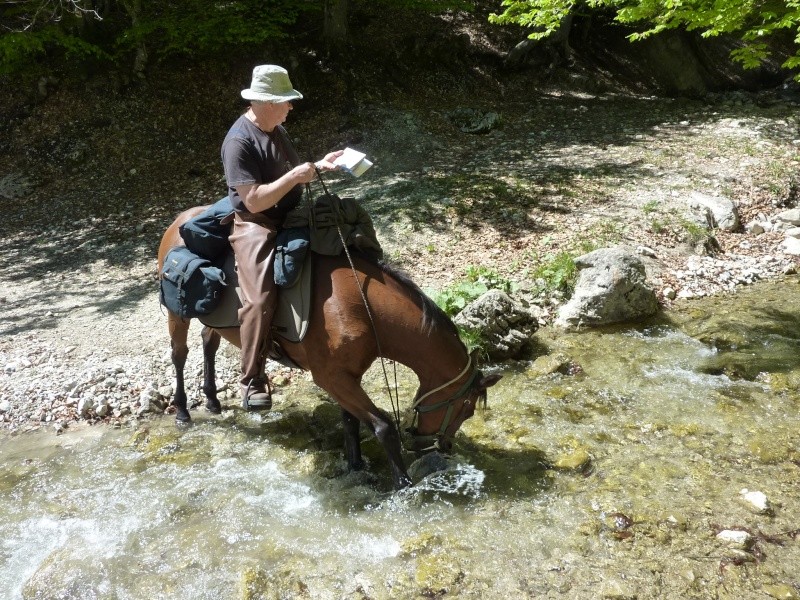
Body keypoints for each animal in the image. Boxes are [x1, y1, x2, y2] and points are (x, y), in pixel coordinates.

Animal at [156, 209, 500, 490]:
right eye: (467, 409)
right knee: (179, 355)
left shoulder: (346, 377)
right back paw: (183, 410)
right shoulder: (332, 378)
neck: (361, 308)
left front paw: (356, 466)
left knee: (208, 341)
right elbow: (383, 426)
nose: (445, 448)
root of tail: (178, 221)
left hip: (214, 321)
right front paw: (403, 484)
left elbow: (351, 422)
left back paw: (213, 400)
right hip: (177, 315)